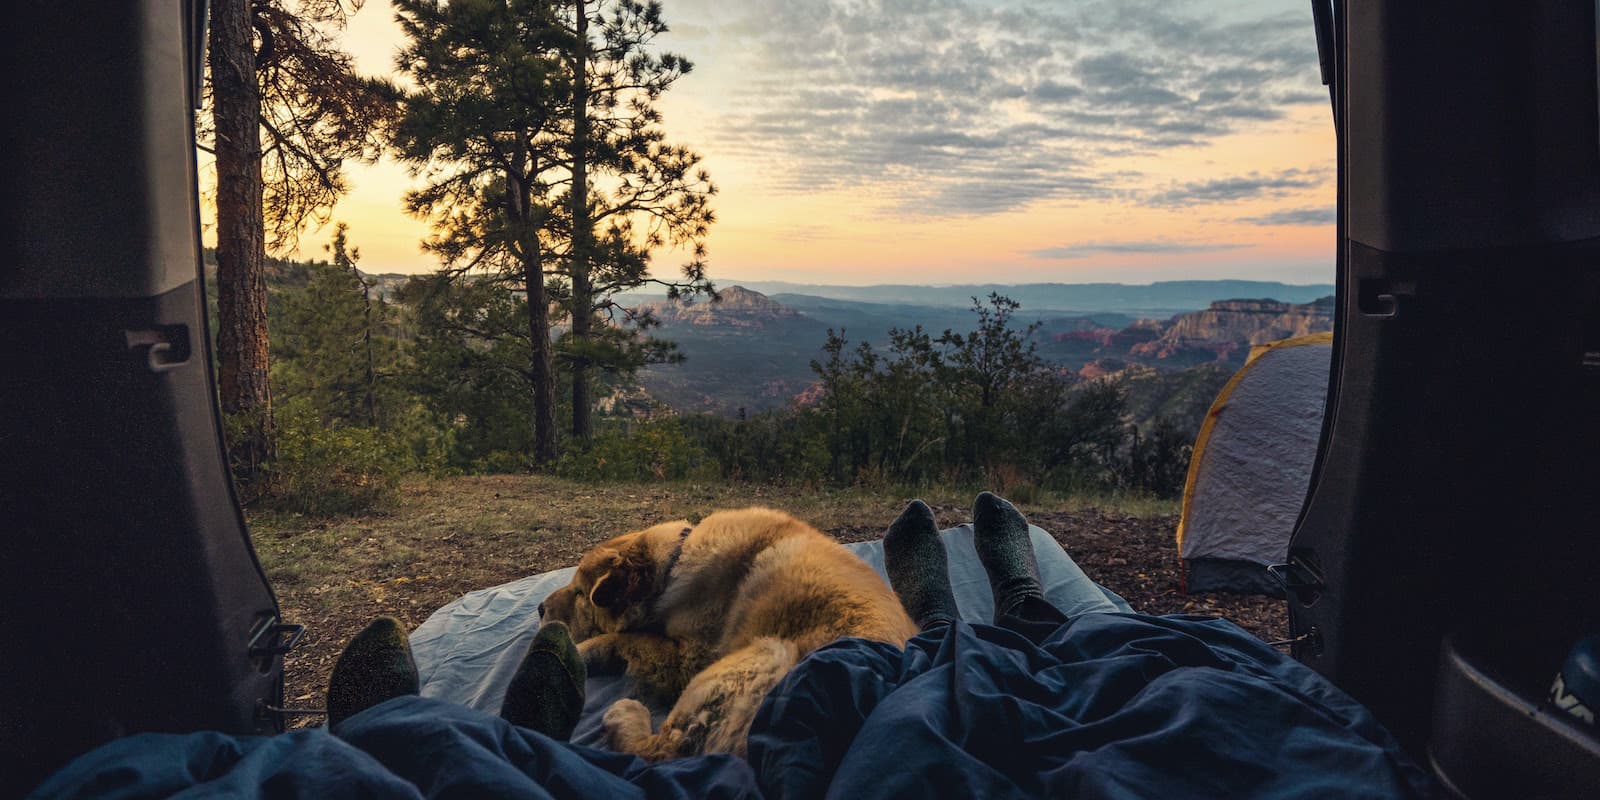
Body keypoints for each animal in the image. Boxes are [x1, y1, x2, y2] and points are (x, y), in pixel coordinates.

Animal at [537, 508, 915, 758]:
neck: (675, 561)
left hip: (759, 655)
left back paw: (625, 715)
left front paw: (579, 649)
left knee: (660, 751)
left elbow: (623, 638)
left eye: (579, 593)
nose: (539, 608)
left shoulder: (687, 660)